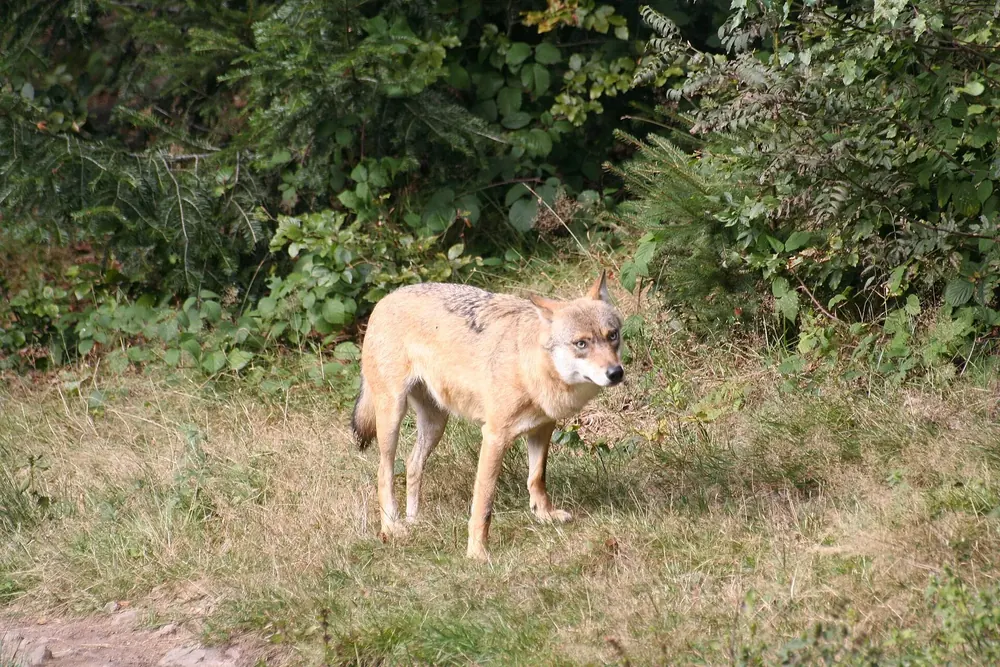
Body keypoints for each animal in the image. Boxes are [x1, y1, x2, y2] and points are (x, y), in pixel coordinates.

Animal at [351, 272, 624, 560]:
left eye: (612, 335)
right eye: (581, 343)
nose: (616, 372)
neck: (528, 366)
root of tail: (385, 299)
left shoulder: (542, 428)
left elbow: (537, 478)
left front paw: (545, 516)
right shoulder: (494, 437)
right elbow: (483, 505)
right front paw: (477, 553)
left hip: (436, 425)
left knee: (413, 464)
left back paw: (415, 520)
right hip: (392, 416)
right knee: (384, 472)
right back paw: (392, 528)